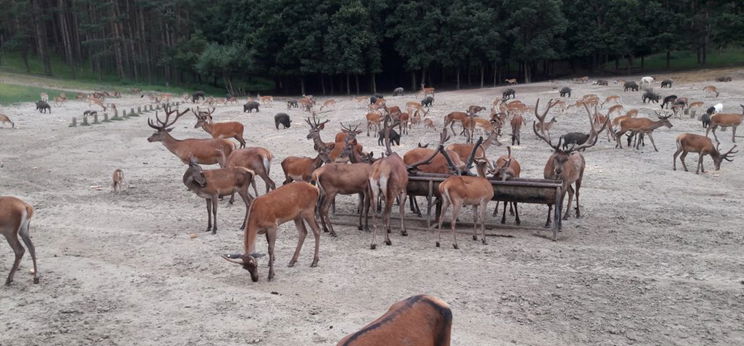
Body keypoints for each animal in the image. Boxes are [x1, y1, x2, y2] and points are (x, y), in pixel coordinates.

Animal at [532, 101, 608, 234]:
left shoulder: (563, 183)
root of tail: (578, 152)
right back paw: (566, 215)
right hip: (568, 181)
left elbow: (559, 204)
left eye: (566, 159)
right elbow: (550, 203)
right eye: (555, 157)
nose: (558, 171)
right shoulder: (547, 181)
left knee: (576, 192)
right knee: (571, 192)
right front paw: (547, 222)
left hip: (578, 176)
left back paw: (577, 213)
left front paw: (559, 226)